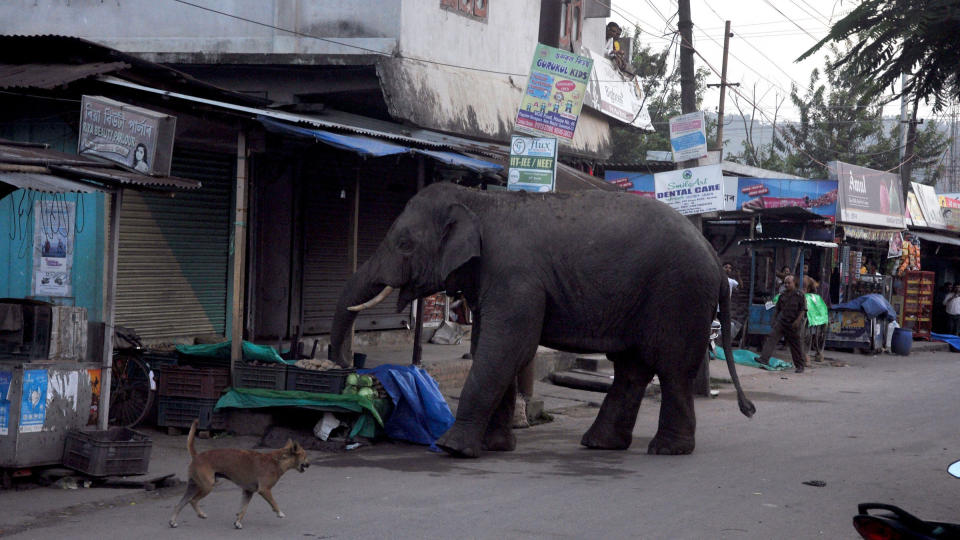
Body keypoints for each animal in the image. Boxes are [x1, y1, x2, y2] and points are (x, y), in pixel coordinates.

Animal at [169, 420, 310, 528]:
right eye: (305, 455)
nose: (309, 464)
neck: (277, 460)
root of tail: (197, 456)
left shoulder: (248, 492)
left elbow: (243, 509)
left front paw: (237, 522)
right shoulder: (265, 490)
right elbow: (274, 503)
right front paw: (279, 513)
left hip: (193, 487)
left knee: (179, 504)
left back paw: (173, 521)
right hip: (207, 486)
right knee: (193, 501)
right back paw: (200, 514)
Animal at [326, 182, 752, 460]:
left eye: (404, 245)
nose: (346, 363)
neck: (480, 199)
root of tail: (716, 258)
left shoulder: (515, 276)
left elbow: (508, 347)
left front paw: (452, 448)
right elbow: (492, 347)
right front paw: (496, 447)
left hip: (679, 294)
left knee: (672, 367)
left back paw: (666, 450)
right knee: (633, 369)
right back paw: (599, 444)